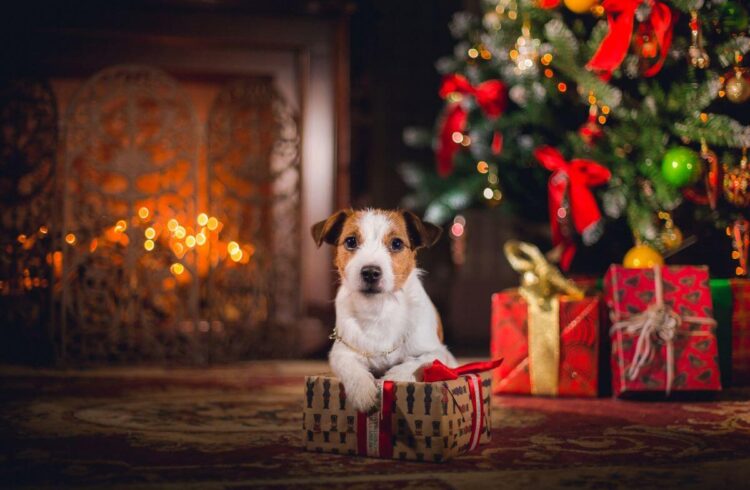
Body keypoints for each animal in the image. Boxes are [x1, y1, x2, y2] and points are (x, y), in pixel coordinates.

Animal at [312, 209, 458, 412]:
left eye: (396, 243)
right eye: (351, 241)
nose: (370, 272)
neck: (379, 310)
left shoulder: (437, 352)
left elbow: (417, 362)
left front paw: (394, 378)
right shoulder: (341, 353)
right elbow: (350, 367)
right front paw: (362, 391)